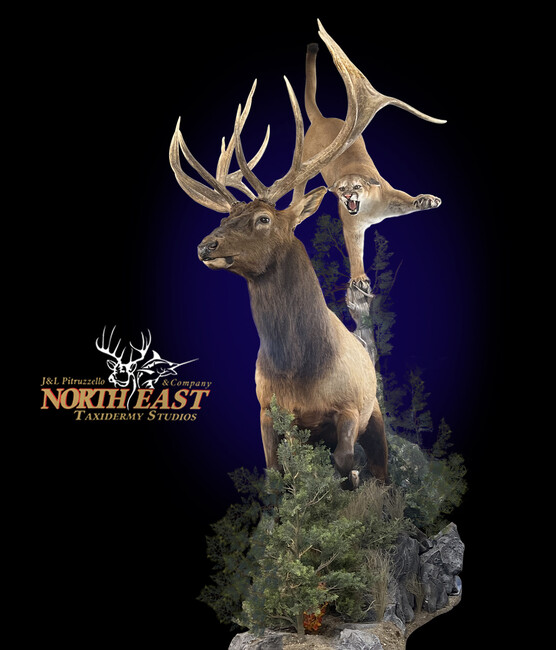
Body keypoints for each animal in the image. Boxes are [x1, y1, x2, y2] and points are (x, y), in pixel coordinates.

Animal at [293, 28, 446, 288]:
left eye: (356, 186)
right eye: (341, 188)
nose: (347, 196)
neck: (368, 209)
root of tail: (322, 119)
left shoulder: (391, 197)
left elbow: (408, 199)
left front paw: (426, 200)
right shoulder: (351, 228)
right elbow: (355, 252)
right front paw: (359, 279)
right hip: (308, 163)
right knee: (299, 187)